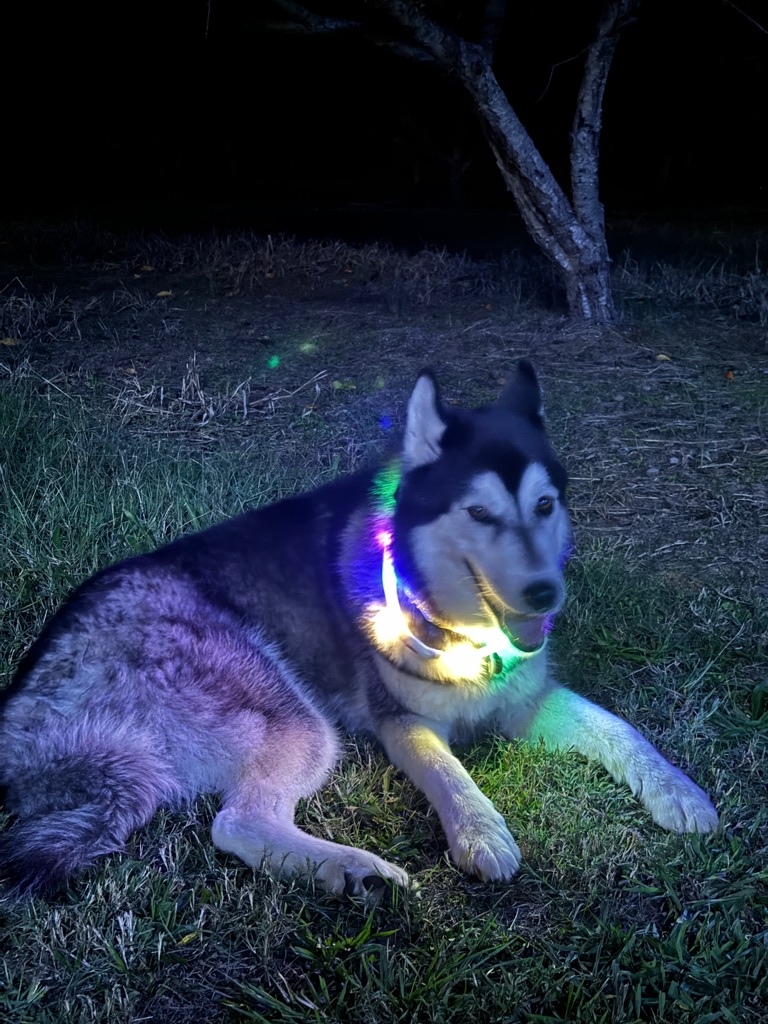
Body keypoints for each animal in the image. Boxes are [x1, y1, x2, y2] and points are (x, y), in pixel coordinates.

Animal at [0, 361, 718, 897]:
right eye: (480, 513)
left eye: (544, 505)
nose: (545, 593)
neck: (462, 630)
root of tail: (24, 714)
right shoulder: (401, 723)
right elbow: (449, 772)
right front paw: (481, 833)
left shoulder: (527, 699)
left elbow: (621, 729)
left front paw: (679, 792)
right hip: (297, 718)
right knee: (237, 823)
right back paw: (356, 872)